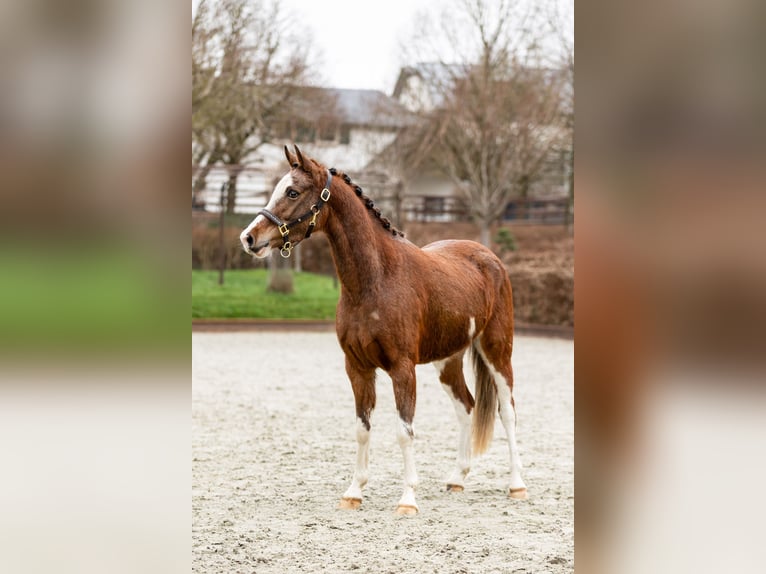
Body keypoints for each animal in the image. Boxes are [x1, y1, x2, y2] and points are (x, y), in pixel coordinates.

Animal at [240, 145, 527, 515]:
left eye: (292, 191)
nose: (249, 238)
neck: (375, 281)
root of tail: (490, 258)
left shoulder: (402, 369)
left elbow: (404, 431)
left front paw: (407, 500)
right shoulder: (357, 368)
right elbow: (362, 428)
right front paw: (353, 492)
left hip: (497, 352)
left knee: (508, 412)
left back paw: (517, 485)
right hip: (448, 360)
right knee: (466, 406)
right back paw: (457, 479)